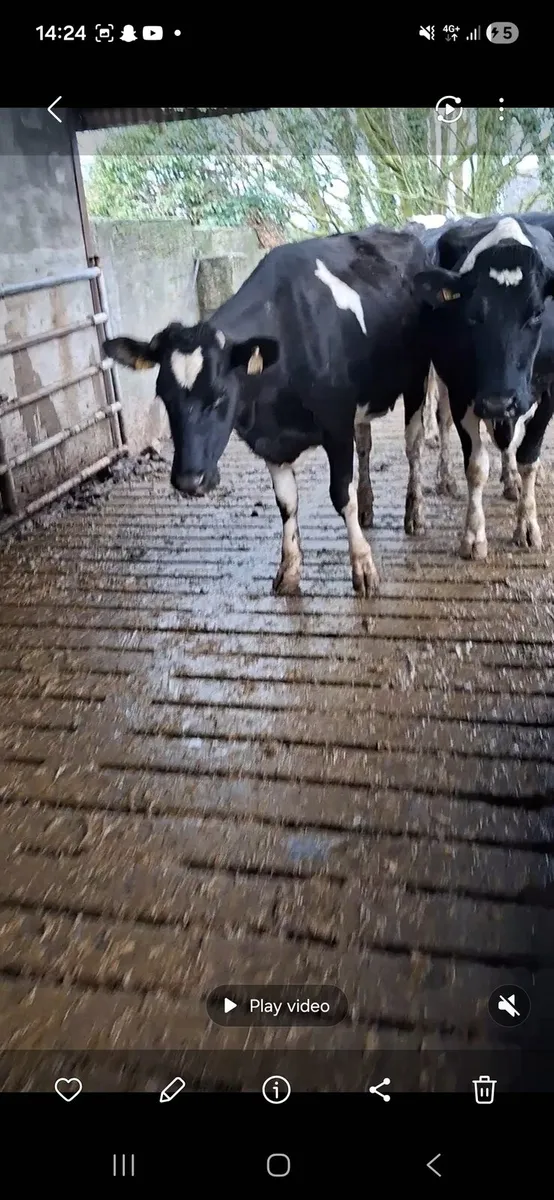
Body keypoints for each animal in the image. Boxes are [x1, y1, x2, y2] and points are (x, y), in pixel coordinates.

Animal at [103, 224, 434, 598]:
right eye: (163, 395)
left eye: (220, 395)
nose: (189, 481)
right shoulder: (269, 441)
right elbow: (286, 503)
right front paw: (289, 571)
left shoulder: (336, 426)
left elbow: (340, 495)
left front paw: (363, 566)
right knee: (364, 445)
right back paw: (367, 506)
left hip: (418, 377)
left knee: (413, 447)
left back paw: (414, 514)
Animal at [411, 212, 554, 558]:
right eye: (472, 314)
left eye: (537, 313)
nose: (497, 402)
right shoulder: (462, 391)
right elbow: (476, 466)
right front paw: (474, 535)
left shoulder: (549, 393)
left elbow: (528, 457)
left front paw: (527, 525)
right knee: (443, 422)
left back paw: (511, 480)